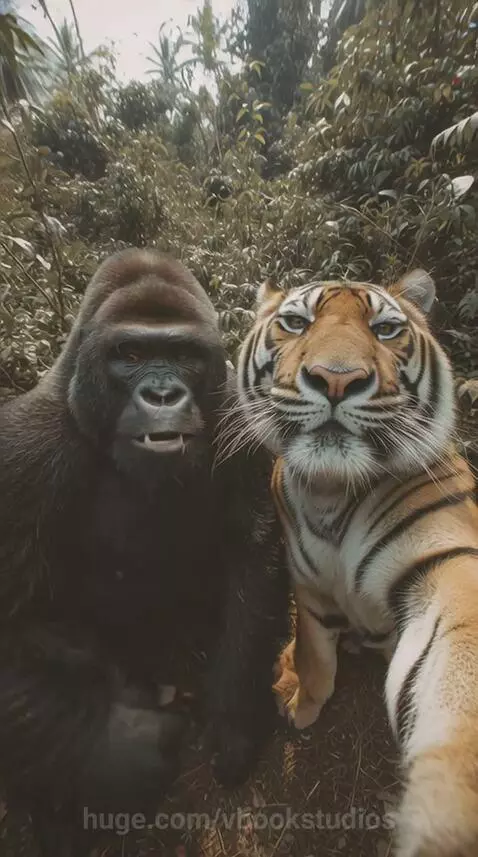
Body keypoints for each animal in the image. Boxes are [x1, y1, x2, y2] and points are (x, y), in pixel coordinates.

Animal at [236, 268, 478, 857]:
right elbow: (316, 657)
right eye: (294, 322)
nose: (336, 379)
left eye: (386, 328)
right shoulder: (308, 587)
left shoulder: (447, 556)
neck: (330, 489)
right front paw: (302, 702)